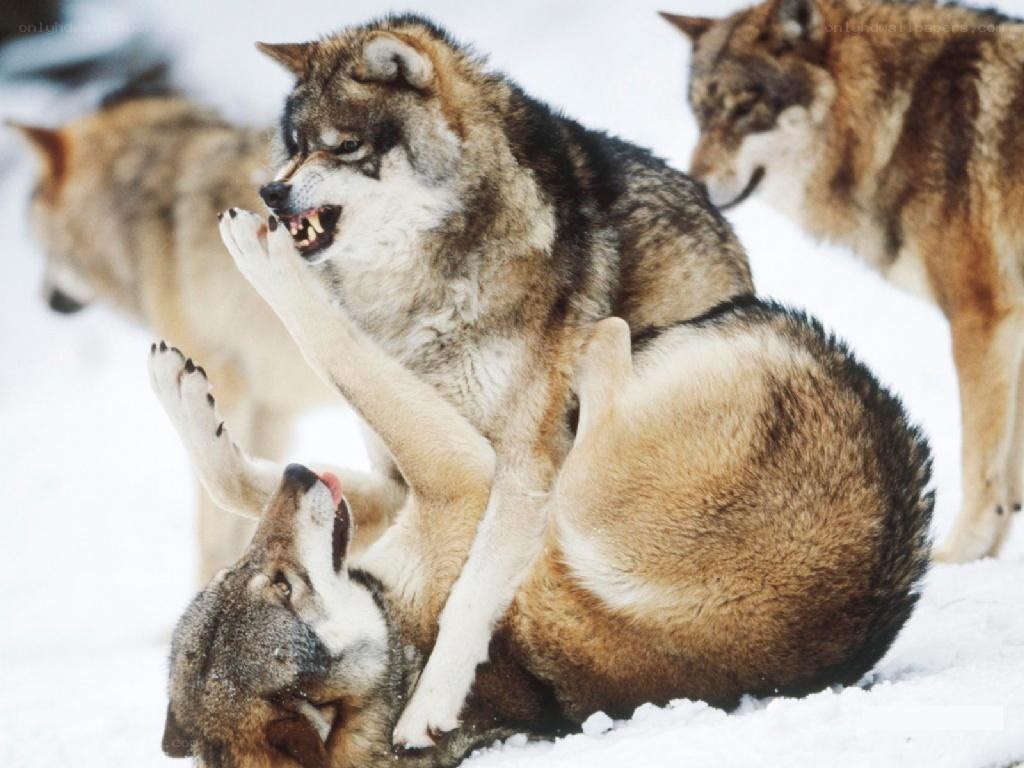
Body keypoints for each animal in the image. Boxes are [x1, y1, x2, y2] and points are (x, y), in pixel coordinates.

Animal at [150, 242, 932, 767]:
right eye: (281, 587)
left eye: (255, 577)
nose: (297, 476)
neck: (395, 637)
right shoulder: (466, 477)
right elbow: (338, 353)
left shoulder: (433, 489)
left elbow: (239, 478)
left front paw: (186, 394)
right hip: (586, 506)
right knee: (601, 376)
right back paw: (592, 351)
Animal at [245, 14, 754, 747]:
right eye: (293, 147)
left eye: (343, 147)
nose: (271, 192)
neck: (420, 288)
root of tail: (715, 216)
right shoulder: (405, 467)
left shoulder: (522, 468)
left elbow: (467, 596)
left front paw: (425, 711)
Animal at [661, 0, 1024, 562]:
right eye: (700, 113)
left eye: (746, 109)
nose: (692, 184)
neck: (900, 117)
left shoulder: (981, 318)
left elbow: (983, 468)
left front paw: (957, 559)